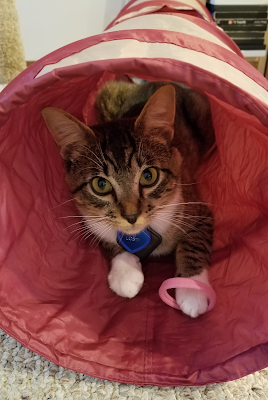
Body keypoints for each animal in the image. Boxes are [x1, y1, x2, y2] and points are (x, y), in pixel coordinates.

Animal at [42, 80, 216, 318]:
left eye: (149, 176)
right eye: (101, 185)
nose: (131, 216)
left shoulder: (197, 208)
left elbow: (195, 242)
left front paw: (192, 290)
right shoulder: (91, 219)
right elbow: (108, 237)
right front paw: (125, 273)